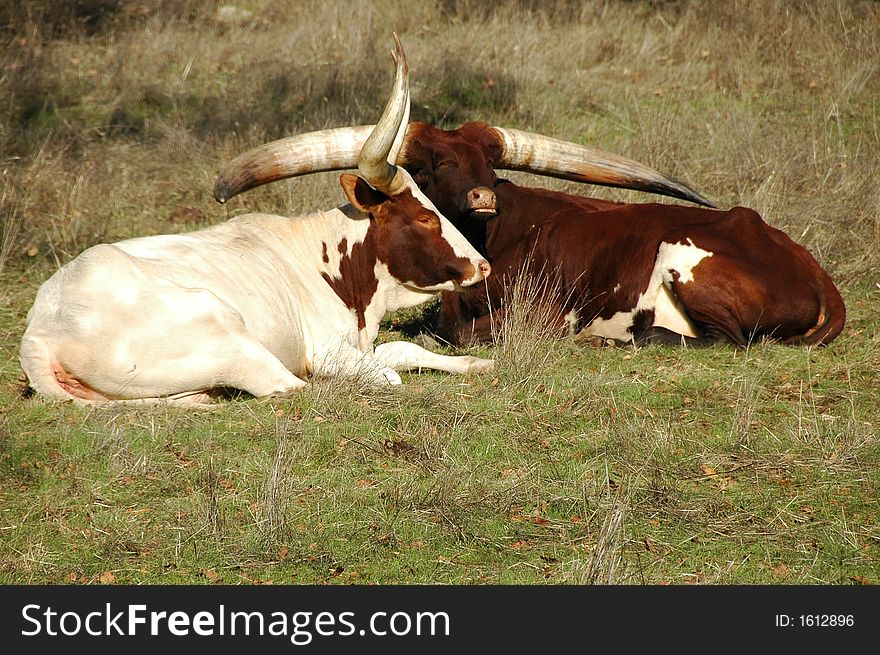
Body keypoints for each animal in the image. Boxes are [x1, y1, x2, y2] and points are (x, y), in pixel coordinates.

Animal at [17, 39, 496, 404]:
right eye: (424, 218)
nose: (482, 265)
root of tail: (41, 332)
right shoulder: (326, 351)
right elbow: (388, 370)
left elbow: (402, 349)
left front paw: (477, 362)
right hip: (226, 329)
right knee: (285, 385)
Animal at [213, 121, 844, 352]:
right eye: (431, 167)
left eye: (489, 167)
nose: (482, 197)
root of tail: (817, 273)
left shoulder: (537, 310)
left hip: (681, 254)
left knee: (724, 340)